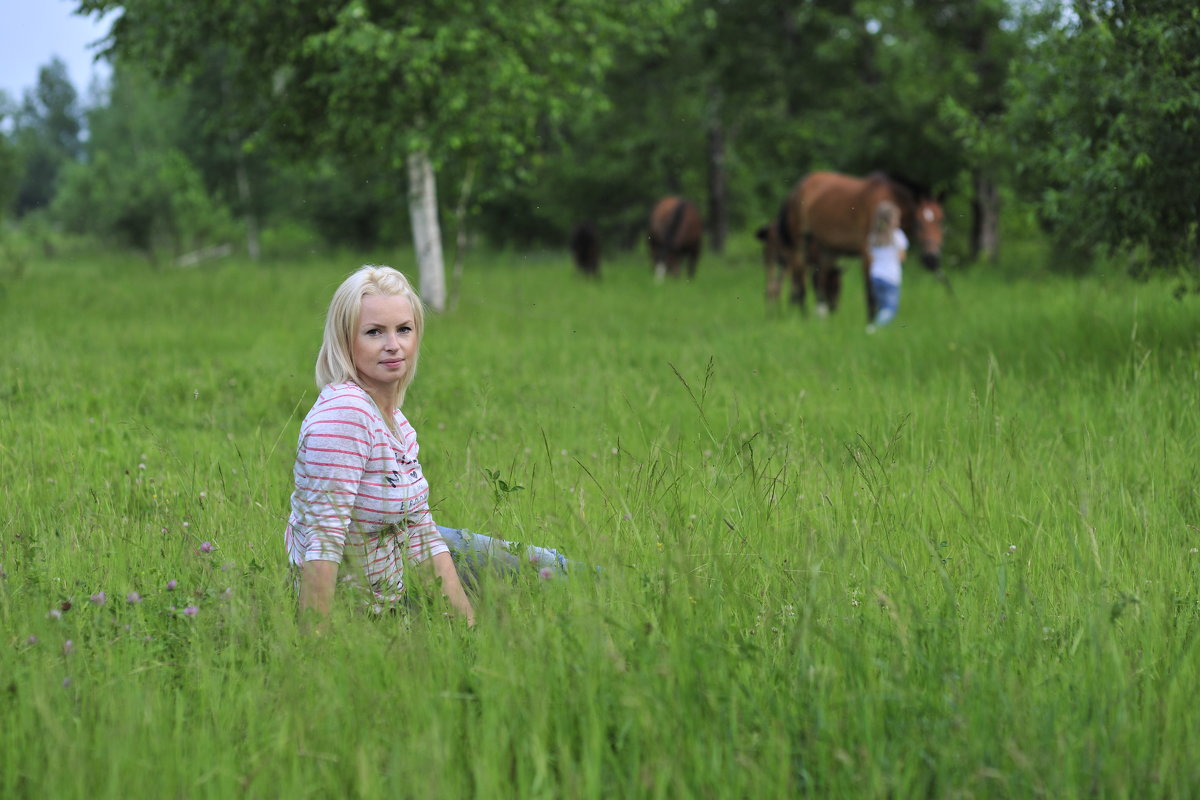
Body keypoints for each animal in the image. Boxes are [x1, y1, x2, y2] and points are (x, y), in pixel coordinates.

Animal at [758, 172, 945, 319]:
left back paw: (822, 316)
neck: (887, 198)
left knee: (819, 280)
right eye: (918, 222)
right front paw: (871, 324)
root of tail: (799, 187)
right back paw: (803, 316)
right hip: (799, 246)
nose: (932, 259)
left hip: (826, 250)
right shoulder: (867, 252)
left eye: (941, 221)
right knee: (799, 280)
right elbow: (871, 291)